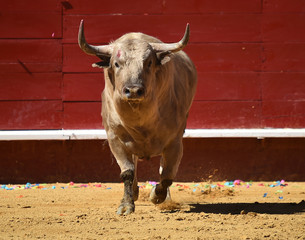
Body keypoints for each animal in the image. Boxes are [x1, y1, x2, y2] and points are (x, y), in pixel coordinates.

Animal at [78, 20, 196, 215]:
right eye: (116, 63)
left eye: (149, 62)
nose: (133, 90)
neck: (141, 120)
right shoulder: (115, 139)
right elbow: (127, 172)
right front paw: (126, 205)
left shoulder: (175, 143)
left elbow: (167, 176)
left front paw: (157, 196)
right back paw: (134, 192)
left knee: (163, 169)